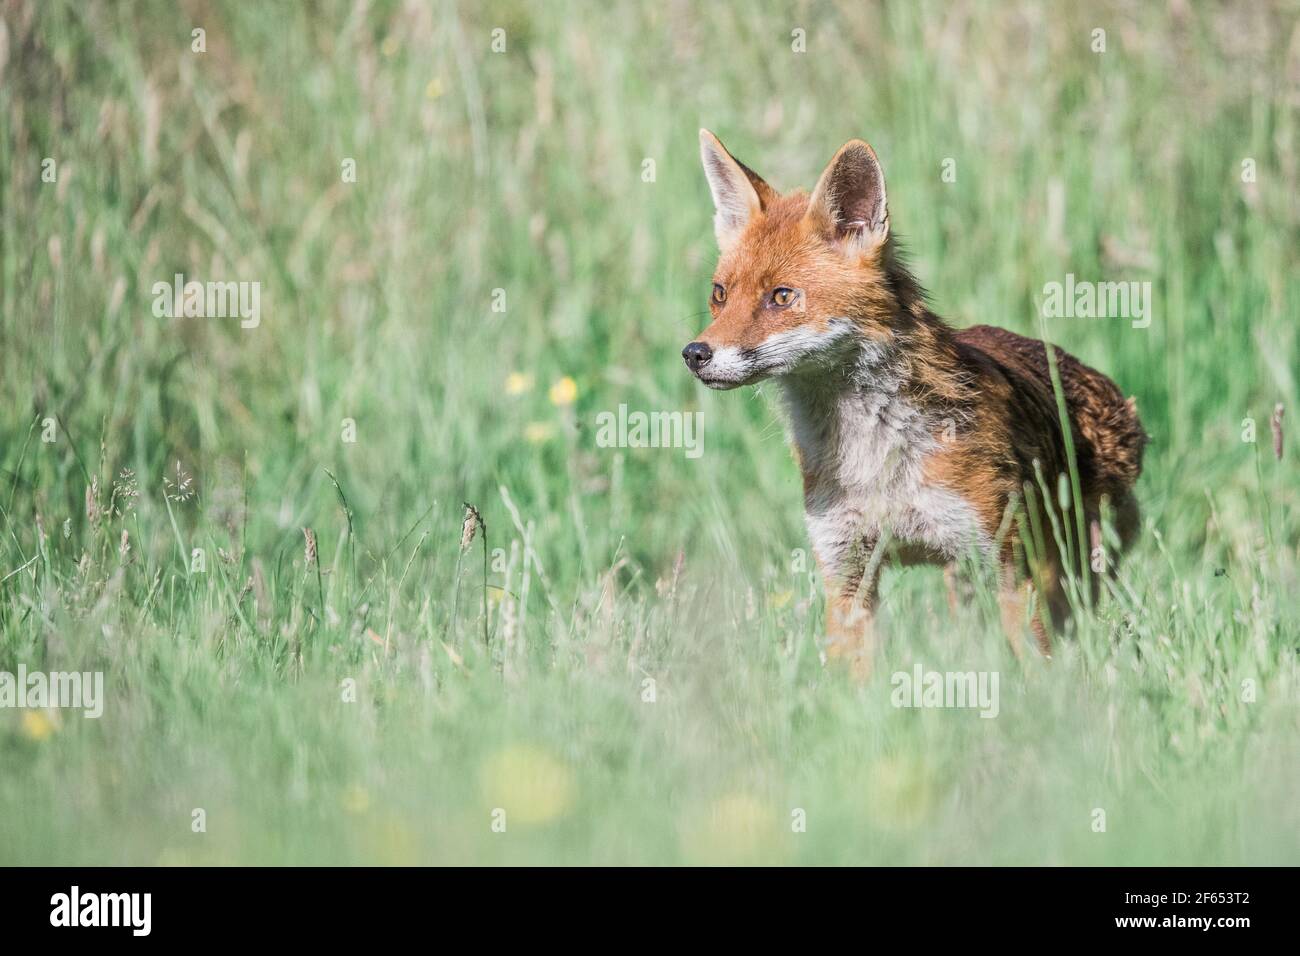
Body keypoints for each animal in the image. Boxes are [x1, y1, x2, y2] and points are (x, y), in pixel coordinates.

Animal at [685, 130, 1147, 676]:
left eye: (781, 296)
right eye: (720, 294)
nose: (695, 354)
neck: (876, 461)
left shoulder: (1010, 565)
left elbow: (1037, 668)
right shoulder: (847, 573)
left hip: (1073, 568)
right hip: (966, 581)